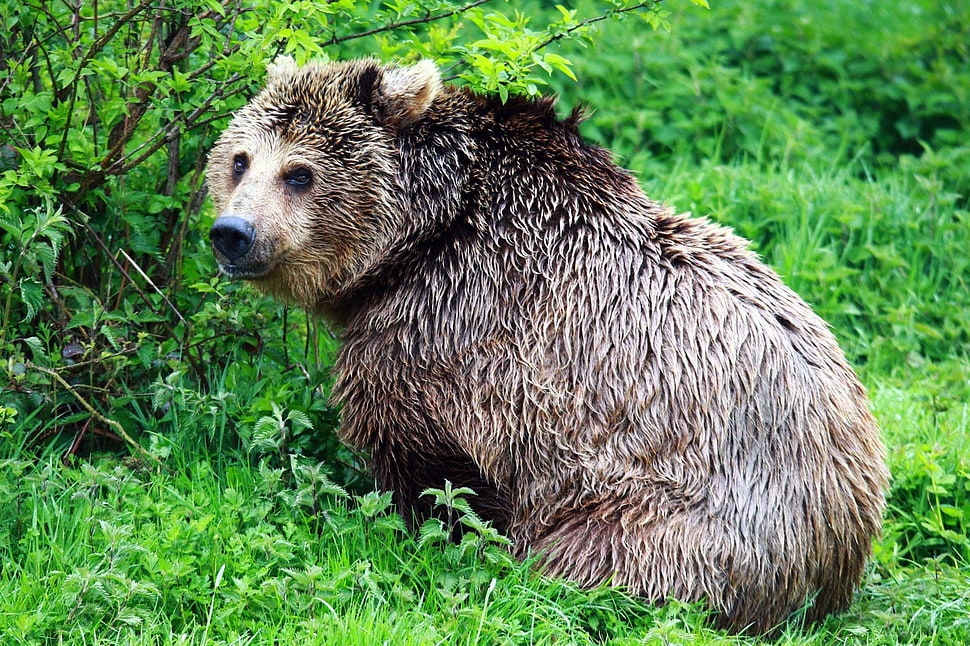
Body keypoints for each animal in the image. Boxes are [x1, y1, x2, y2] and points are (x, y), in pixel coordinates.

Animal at [207, 57, 889, 634]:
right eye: (240, 159)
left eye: (300, 172)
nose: (232, 232)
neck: (419, 236)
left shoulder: (449, 328)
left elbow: (430, 466)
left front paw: (422, 534)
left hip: (675, 517)